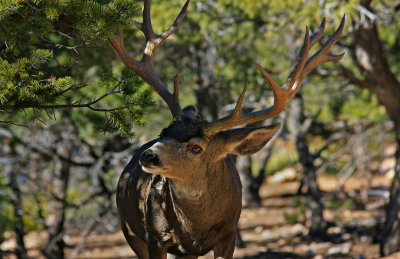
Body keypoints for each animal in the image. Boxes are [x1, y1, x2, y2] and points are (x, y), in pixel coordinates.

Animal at [108, 1, 344, 258]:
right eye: (163, 132)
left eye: (196, 148)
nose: (149, 155)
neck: (194, 228)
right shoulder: (155, 237)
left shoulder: (228, 233)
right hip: (129, 230)